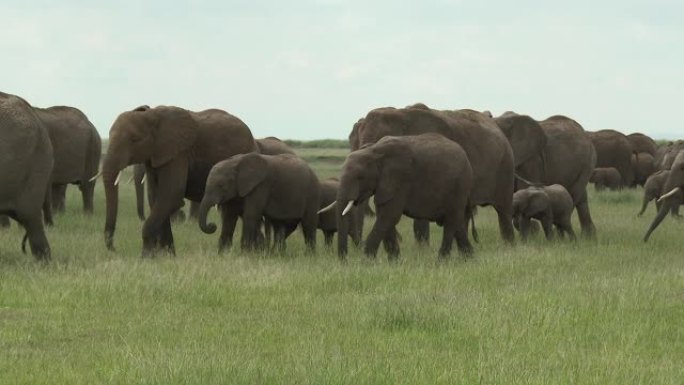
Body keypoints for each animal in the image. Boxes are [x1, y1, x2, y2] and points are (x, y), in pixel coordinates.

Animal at [99, 104, 254, 255]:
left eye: (135, 140)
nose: (114, 249)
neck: (152, 115)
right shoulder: (156, 156)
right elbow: (156, 197)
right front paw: (167, 256)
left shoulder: (178, 154)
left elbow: (170, 195)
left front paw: (146, 257)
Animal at [332, 134, 472, 260]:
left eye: (360, 177)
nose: (344, 261)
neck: (374, 151)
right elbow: (385, 216)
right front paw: (394, 261)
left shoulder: (400, 181)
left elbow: (390, 216)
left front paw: (367, 261)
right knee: (457, 222)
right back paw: (468, 258)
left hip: (459, 186)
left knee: (451, 221)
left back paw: (442, 261)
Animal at [348, 105, 512, 249]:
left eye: (377, 147)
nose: (359, 246)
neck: (400, 114)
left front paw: (422, 250)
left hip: (504, 165)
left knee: (503, 210)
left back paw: (509, 247)